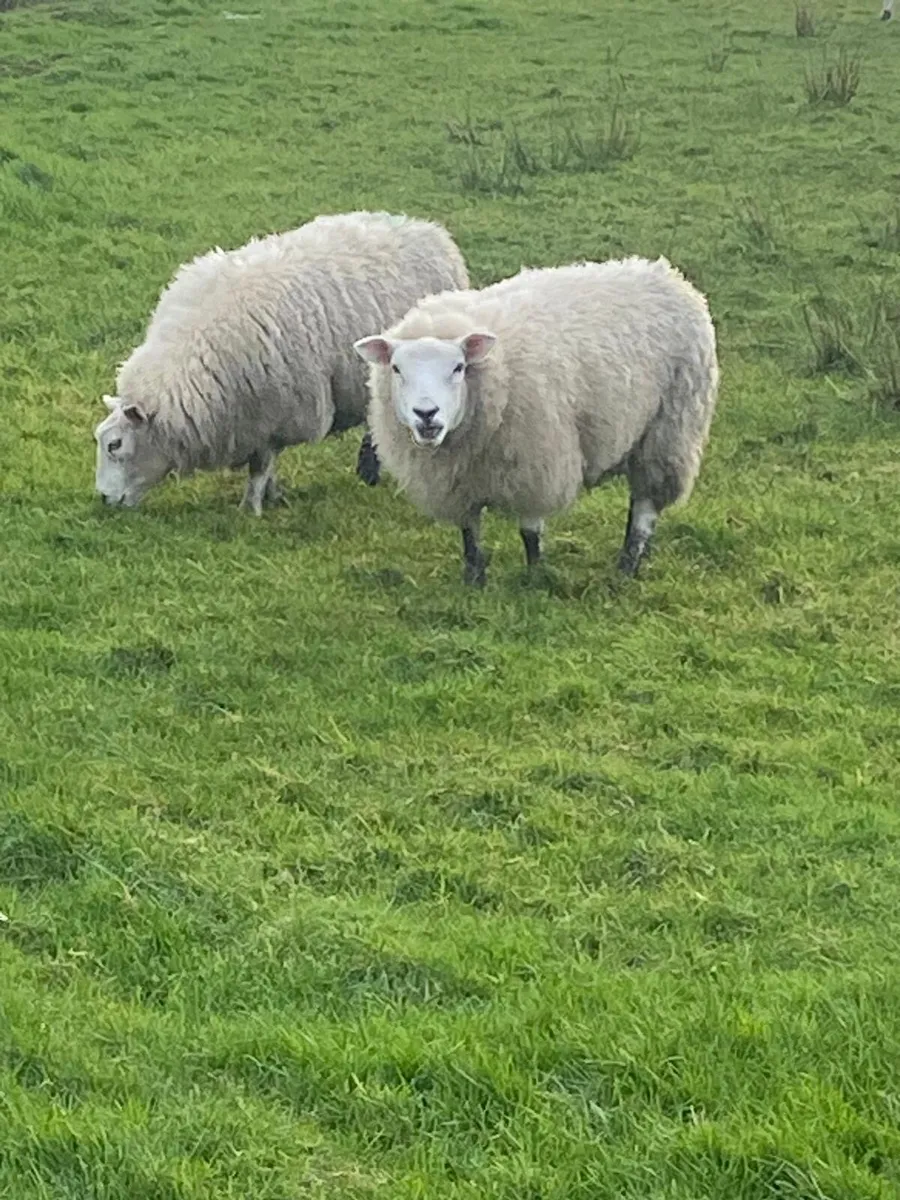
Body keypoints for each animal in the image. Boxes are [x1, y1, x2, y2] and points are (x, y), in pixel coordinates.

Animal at [94, 212, 469, 512]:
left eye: (115, 445)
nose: (104, 500)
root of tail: (430, 231)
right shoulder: (256, 416)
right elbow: (267, 464)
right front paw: (273, 496)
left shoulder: (276, 411)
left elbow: (261, 465)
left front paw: (251, 508)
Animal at [354, 256, 718, 587]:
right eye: (397, 369)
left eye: (458, 367)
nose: (426, 413)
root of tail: (665, 273)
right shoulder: (458, 482)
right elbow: (470, 532)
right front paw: (474, 581)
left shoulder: (534, 461)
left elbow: (530, 530)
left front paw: (535, 577)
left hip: (669, 430)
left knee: (644, 506)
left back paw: (627, 566)